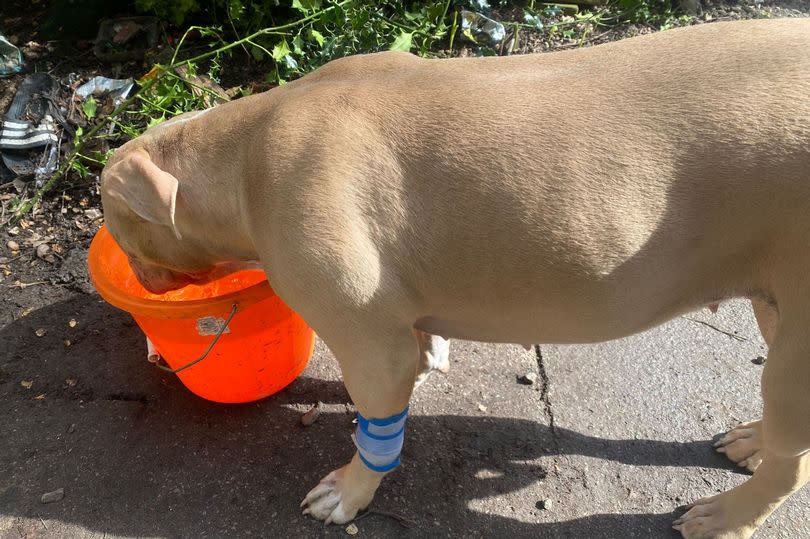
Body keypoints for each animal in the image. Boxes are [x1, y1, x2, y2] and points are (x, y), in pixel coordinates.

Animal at [99, 19, 808, 536]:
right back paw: (754, 440)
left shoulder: (369, 347)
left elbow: (376, 429)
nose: (138, 273)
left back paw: (730, 515)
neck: (241, 160)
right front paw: (432, 352)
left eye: (113, 218)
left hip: (795, 351)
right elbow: (419, 338)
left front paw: (351, 491)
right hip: (774, 306)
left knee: (790, 466)